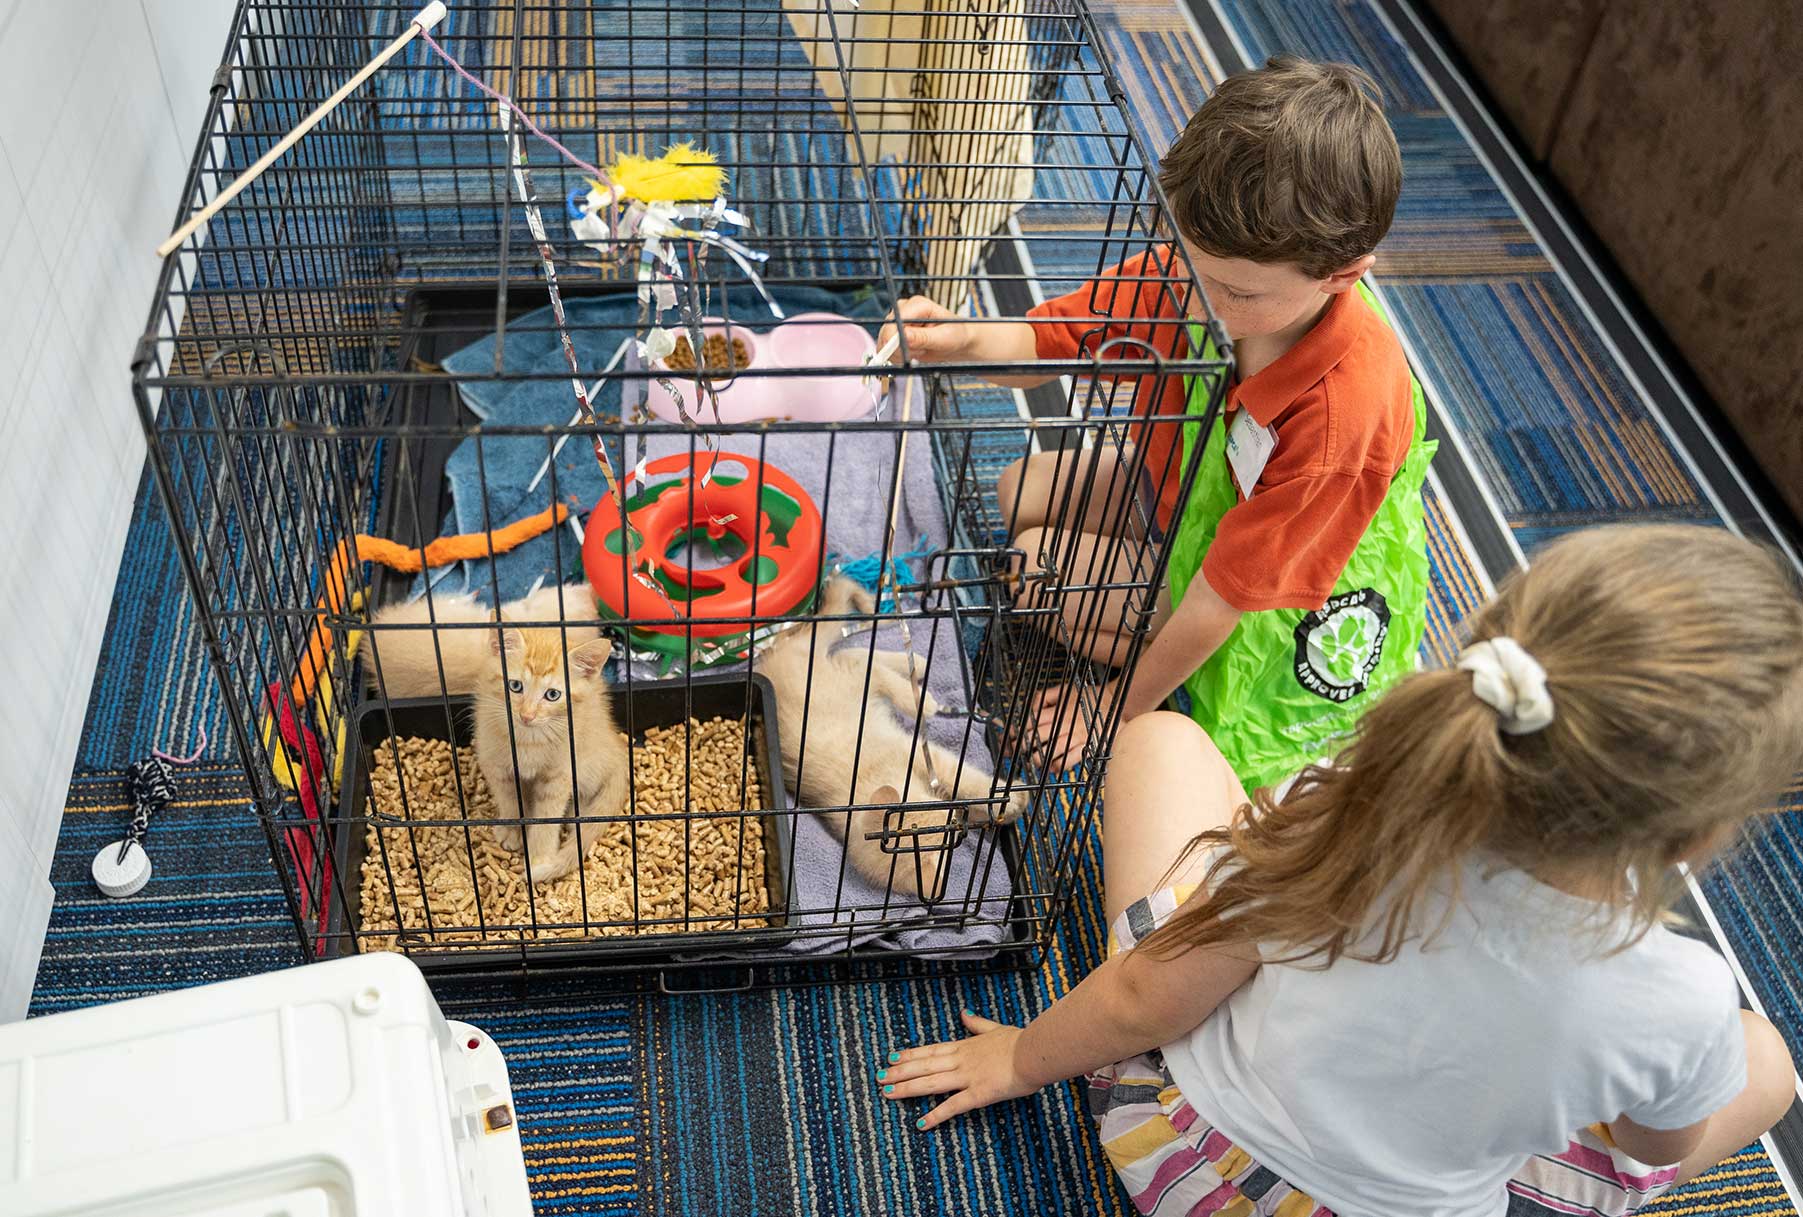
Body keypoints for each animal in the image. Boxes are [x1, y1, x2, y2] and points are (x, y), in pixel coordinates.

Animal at [473, 624, 629, 885]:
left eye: (553, 695)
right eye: (515, 686)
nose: (526, 715)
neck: (528, 740)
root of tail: (617, 748)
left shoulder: (559, 774)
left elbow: (547, 816)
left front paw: (540, 859)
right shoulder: (495, 763)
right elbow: (509, 799)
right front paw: (513, 830)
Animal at [756, 576, 1025, 901]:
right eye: (947, 827)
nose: (956, 818)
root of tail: (780, 654)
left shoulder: (917, 753)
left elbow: (964, 777)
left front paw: (1004, 798)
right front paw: (1005, 805)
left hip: (847, 681)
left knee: (858, 658)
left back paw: (919, 687)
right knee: (856, 658)